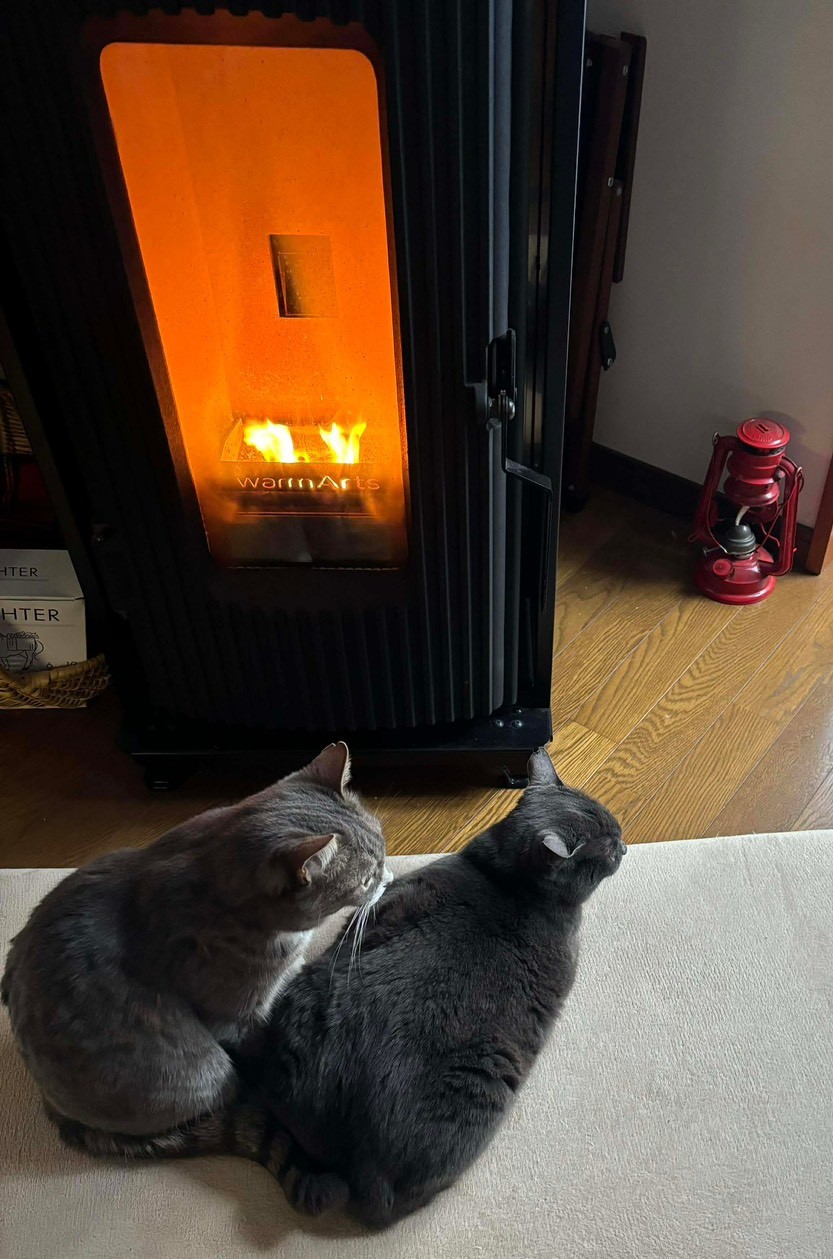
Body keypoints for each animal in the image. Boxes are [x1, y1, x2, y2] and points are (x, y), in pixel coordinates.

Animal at [1, 742, 391, 1152]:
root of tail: (52, 1106)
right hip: (205, 1071)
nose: (386, 876)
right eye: (365, 880)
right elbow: (257, 1044)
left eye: (384, 848)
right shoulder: (237, 1016)